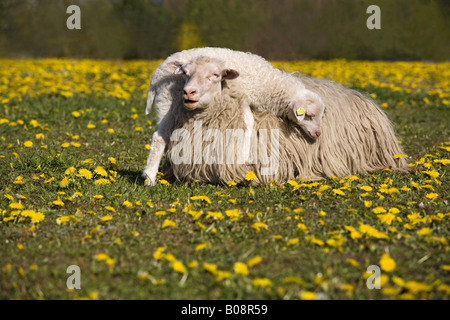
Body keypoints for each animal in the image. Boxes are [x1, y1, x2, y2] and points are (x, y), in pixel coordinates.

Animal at [143, 46, 324, 184]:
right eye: (308, 115)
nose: (318, 134)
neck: (268, 86)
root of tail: (156, 74)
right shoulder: (242, 97)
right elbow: (249, 122)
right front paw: (245, 154)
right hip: (168, 102)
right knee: (160, 138)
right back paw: (150, 178)